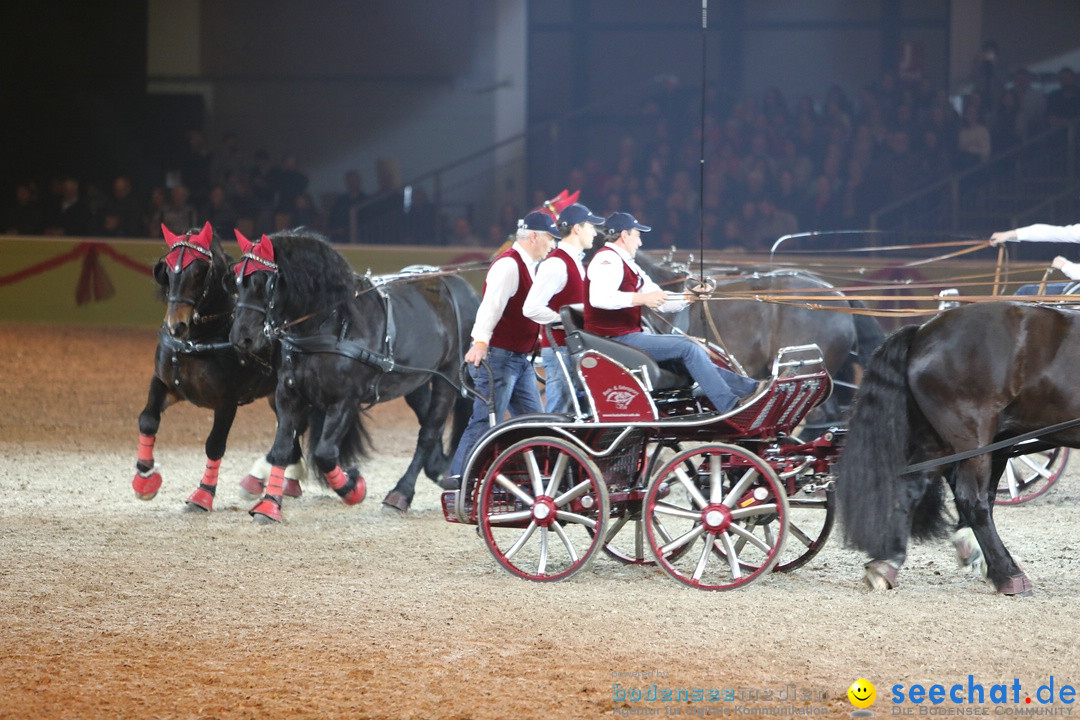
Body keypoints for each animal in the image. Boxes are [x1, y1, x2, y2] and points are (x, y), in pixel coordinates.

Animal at [133, 222, 295, 509]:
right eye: (168, 270)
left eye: (199, 271)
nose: (176, 325)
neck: (197, 340)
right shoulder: (165, 383)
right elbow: (148, 419)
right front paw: (145, 477)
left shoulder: (226, 401)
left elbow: (214, 444)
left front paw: (203, 493)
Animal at [230, 227, 479, 520]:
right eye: (237, 279)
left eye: (264, 281)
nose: (241, 338)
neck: (332, 322)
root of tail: (464, 288)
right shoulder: (289, 394)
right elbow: (282, 448)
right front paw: (269, 505)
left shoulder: (344, 401)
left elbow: (325, 453)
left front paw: (353, 488)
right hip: (415, 381)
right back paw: (439, 470)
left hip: (448, 378)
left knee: (429, 432)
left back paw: (401, 494)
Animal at [838, 300, 1080, 595]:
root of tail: (923, 332)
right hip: (972, 437)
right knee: (973, 500)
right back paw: (1008, 574)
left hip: (944, 441)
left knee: (912, 487)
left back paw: (888, 563)